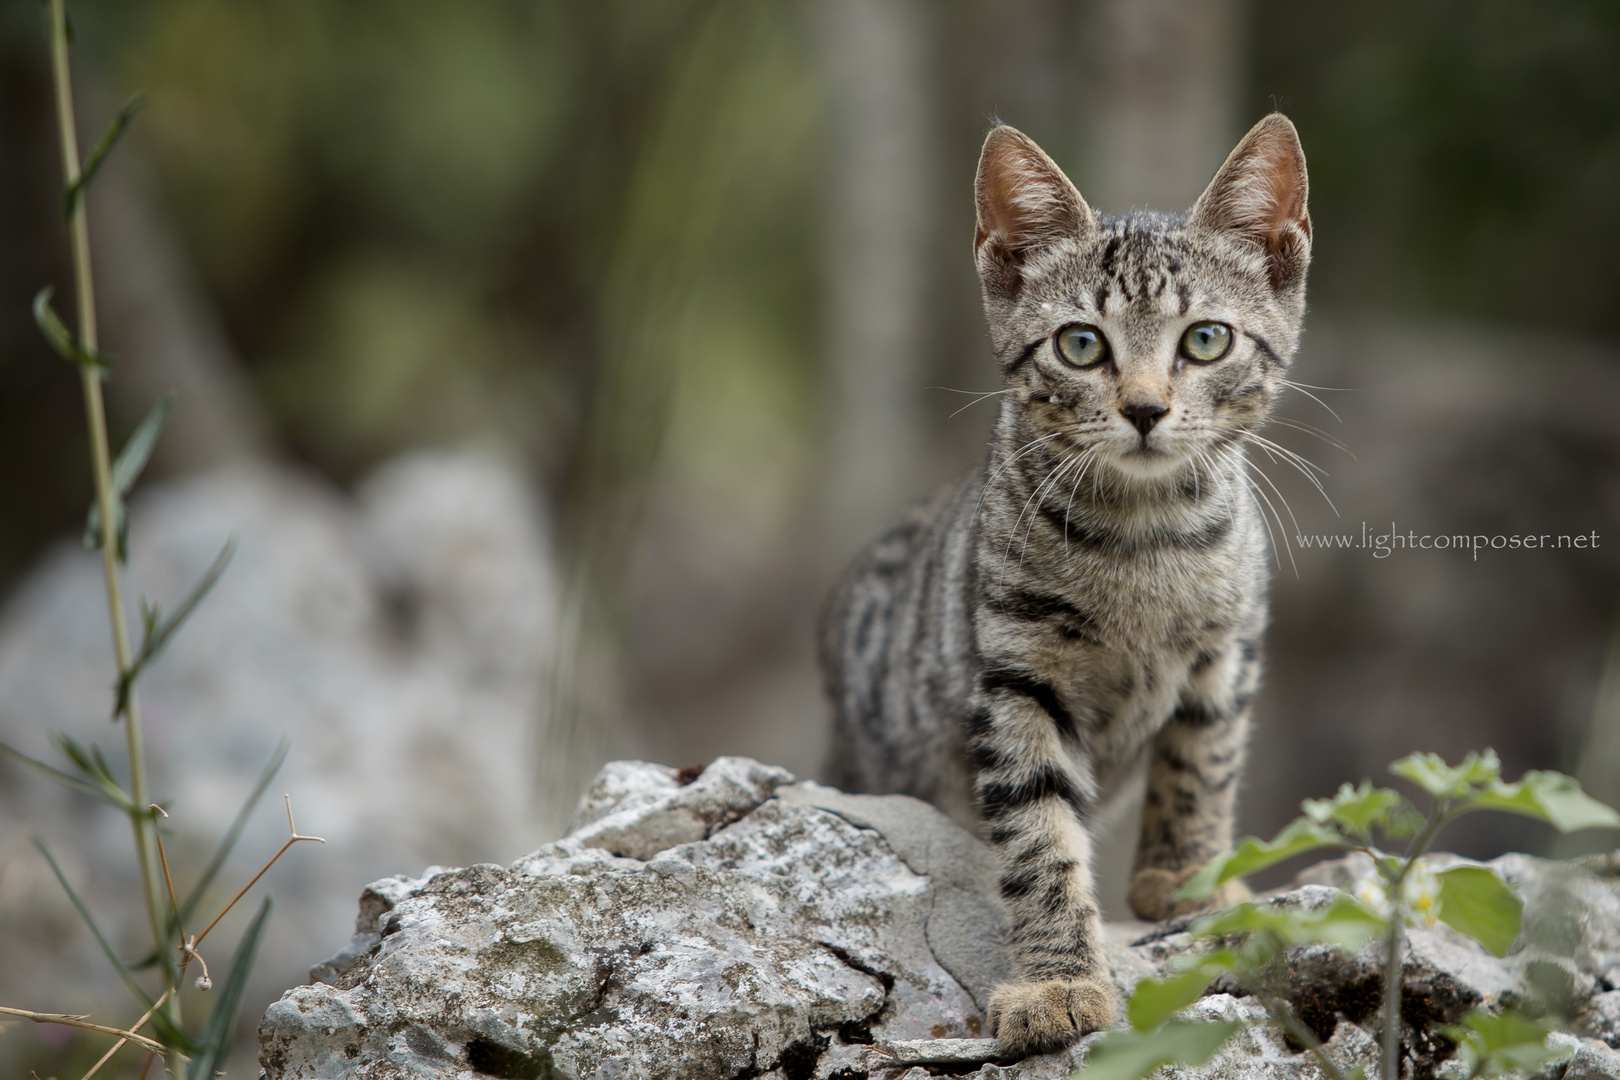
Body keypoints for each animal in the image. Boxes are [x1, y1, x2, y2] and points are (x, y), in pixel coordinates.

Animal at [829, 118, 1308, 1055]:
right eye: (1081, 345)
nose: (1146, 409)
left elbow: (1202, 762)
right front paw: (1057, 983)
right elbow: (1040, 835)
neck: (1145, 539)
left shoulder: (1229, 649)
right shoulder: (1015, 676)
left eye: (1206, 340)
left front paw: (1187, 877)